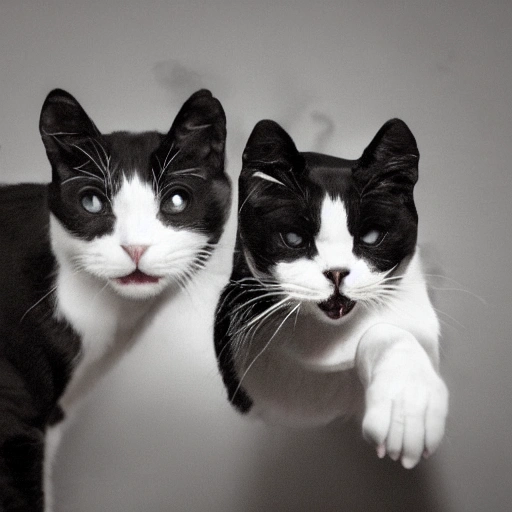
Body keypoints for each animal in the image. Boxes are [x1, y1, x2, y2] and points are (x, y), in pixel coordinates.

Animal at [215, 118, 448, 470]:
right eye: (294, 238)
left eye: (371, 236)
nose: (337, 272)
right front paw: (405, 408)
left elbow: (386, 334)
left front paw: (409, 402)